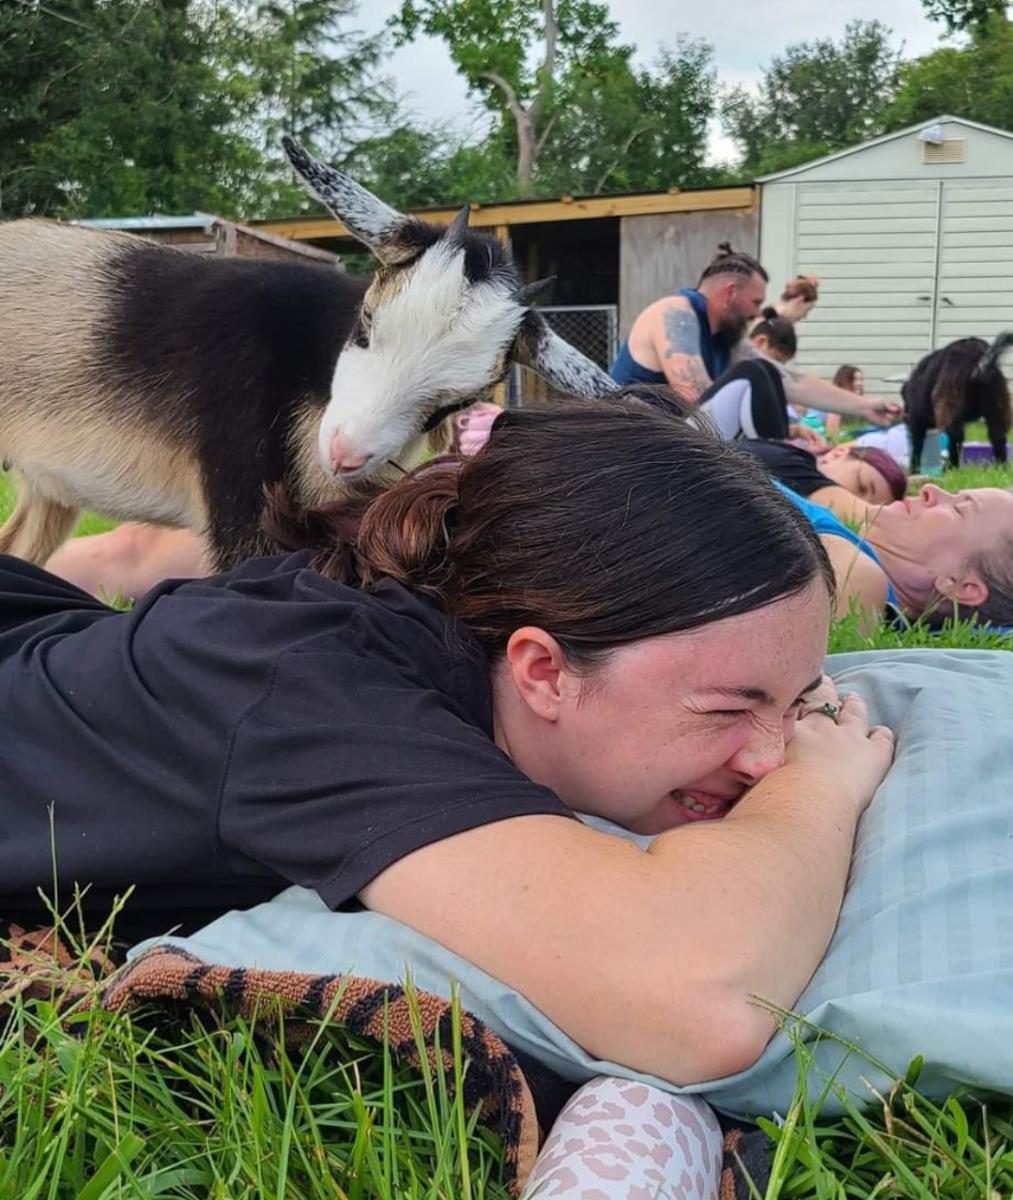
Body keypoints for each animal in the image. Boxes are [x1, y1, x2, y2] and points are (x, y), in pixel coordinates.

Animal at [902, 336, 1012, 475]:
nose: (904, 418)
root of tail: (981, 358)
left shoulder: (916, 420)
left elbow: (917, 447)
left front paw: (913, 471)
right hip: (996, 409)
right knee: (998, 438)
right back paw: (1001, 468)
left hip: (949, 407)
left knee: (955, 437)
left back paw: (951, 468)